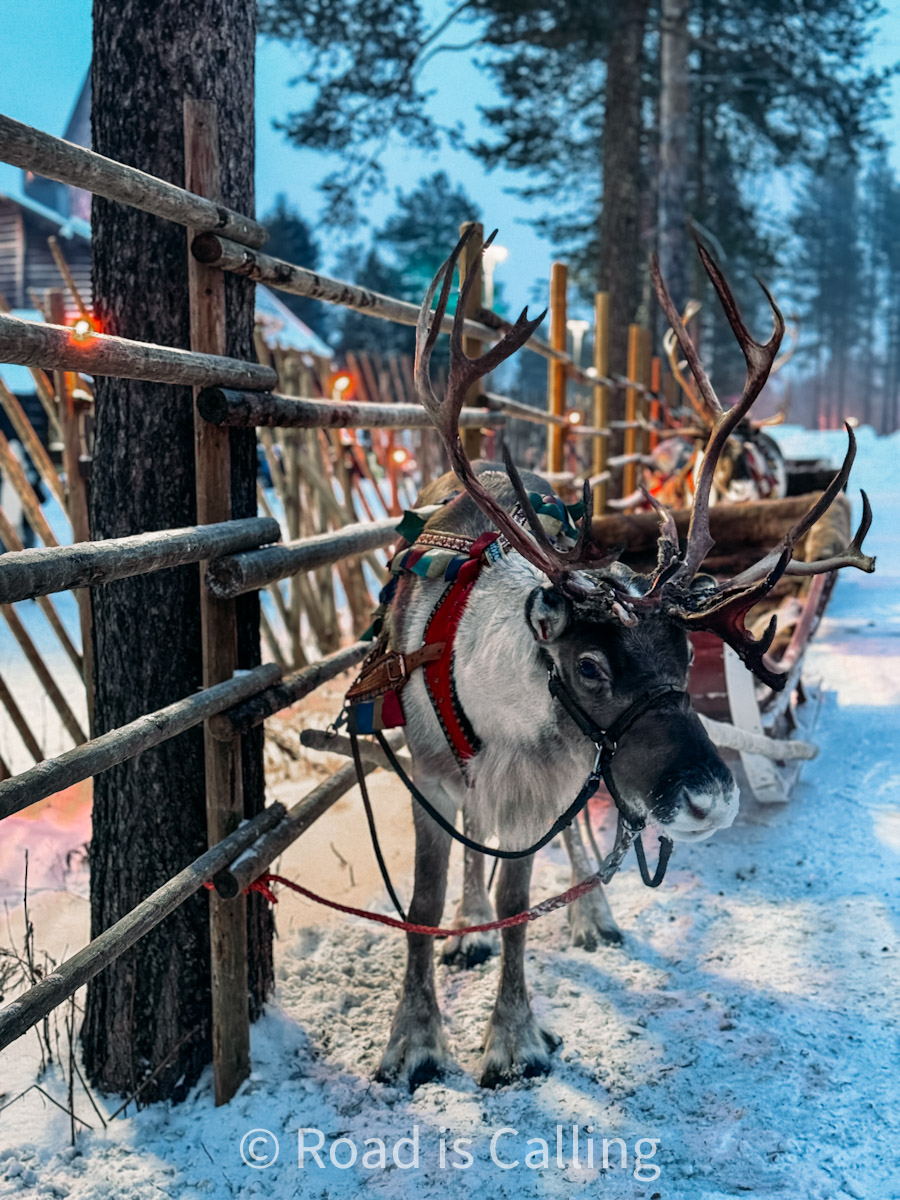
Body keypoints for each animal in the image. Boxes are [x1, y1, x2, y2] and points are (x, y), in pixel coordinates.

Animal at [359, 232, 873, 1090]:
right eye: (592, 668)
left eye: (684, 653)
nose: (709, 798)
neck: (498, 708)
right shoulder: (430, 772)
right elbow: (423, 907)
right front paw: (415, 1039)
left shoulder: (545, 780)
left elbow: (522, 897)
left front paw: (513, 1038)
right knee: (477, 836)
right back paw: (473, 926)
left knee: (564, 847)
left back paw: (590, 914)